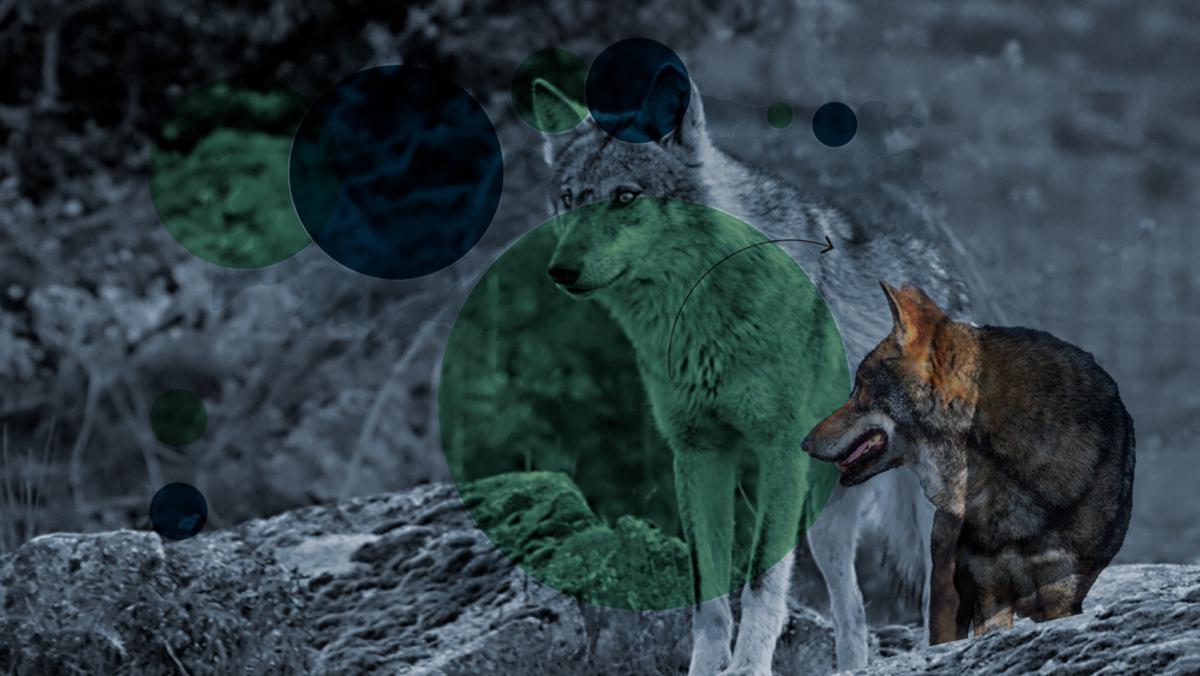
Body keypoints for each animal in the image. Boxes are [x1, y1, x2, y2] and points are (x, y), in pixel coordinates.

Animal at [533, 64, 990, 674]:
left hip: (922, 505)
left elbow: (759, 587)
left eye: (625, 196)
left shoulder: (777, 455)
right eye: (569, 199)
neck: (701, 314)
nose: (560, 270)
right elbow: (708, 598)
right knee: (854, 610)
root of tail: (948, 278)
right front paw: (706, 669)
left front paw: (747, 667)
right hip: (825, 520)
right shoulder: (699, 455)